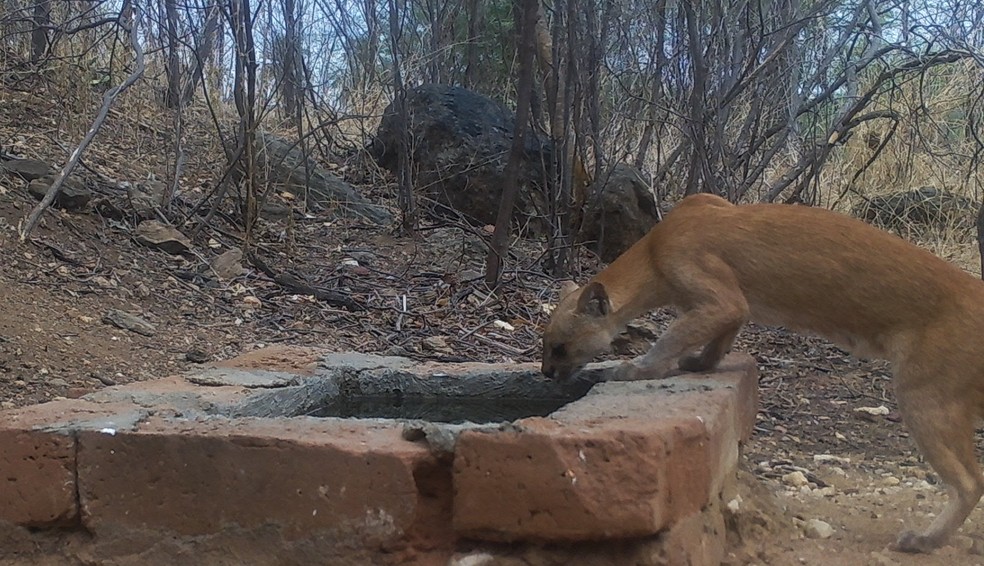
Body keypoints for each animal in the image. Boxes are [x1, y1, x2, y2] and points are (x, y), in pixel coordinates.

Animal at [540, 194, 984, 556]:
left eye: (559, 347)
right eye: (544, 345)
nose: (545, 372)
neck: (652, 248)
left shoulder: (718, 295)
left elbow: (670, 339)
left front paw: (629, 369)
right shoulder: (731, 301)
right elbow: (718, 338)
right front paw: (699, 363)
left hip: (923, 396)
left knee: (970, 481)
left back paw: (924, 540)